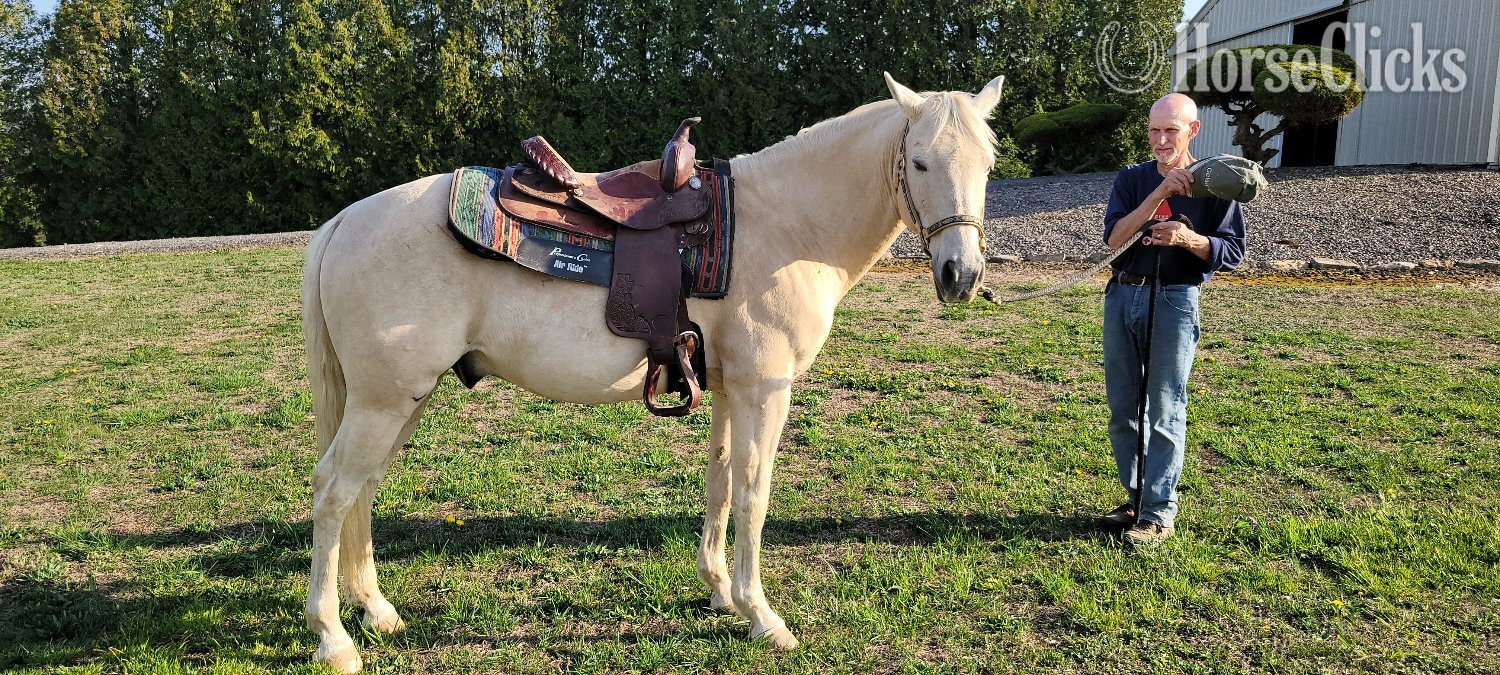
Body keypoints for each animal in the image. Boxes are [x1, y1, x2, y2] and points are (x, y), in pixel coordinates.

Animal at [300, 72, 1004, 672]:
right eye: (920, 162)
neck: (786, 225)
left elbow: (720, 484)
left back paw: (376, 610)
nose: (961, 275)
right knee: (334, 489)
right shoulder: (764, 391)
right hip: (383, 401)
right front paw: (763, 617)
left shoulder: (729, 390)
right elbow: (753, 494)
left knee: (364, 488)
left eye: (989, 164)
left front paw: (720, 592)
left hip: (398, 399)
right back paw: (333, 637)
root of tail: (343, 220)